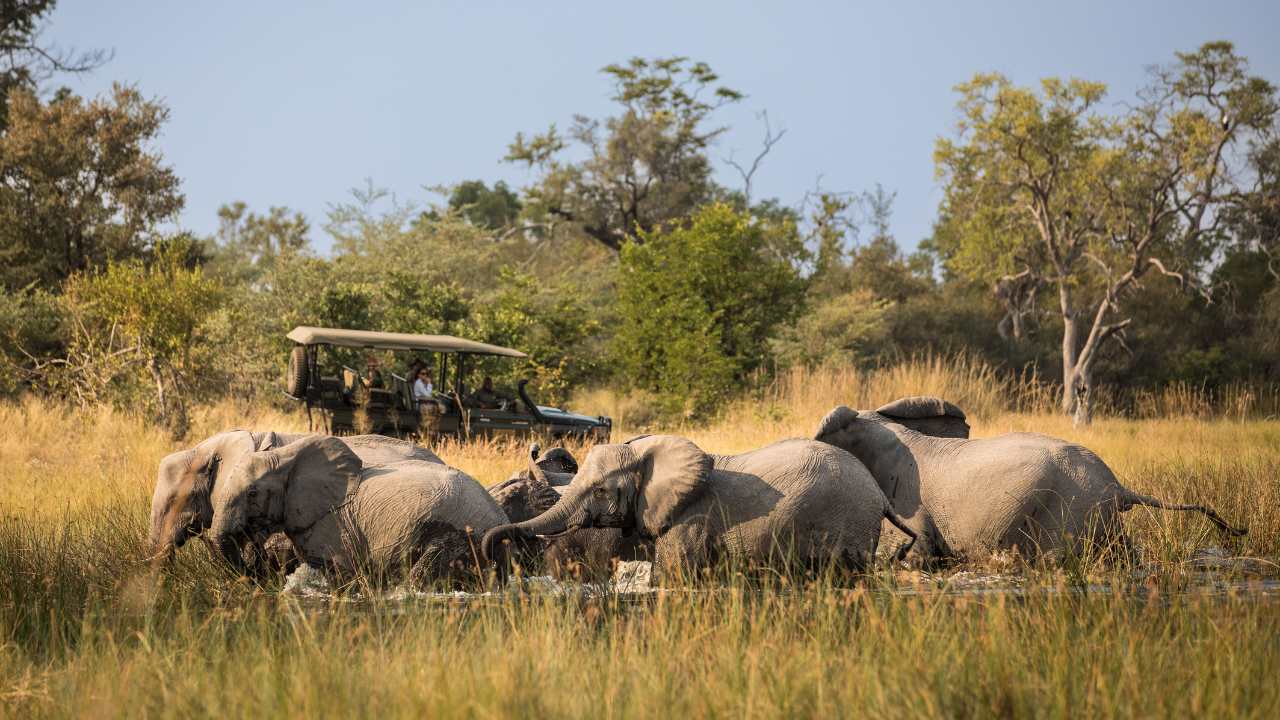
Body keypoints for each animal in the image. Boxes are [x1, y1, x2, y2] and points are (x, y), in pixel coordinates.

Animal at [209, 435, 506, 586]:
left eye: (252, 493)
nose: (252, 574)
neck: (288, 457)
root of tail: (499, 515)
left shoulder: (333, 524)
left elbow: (340, 573)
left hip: (460, 533)